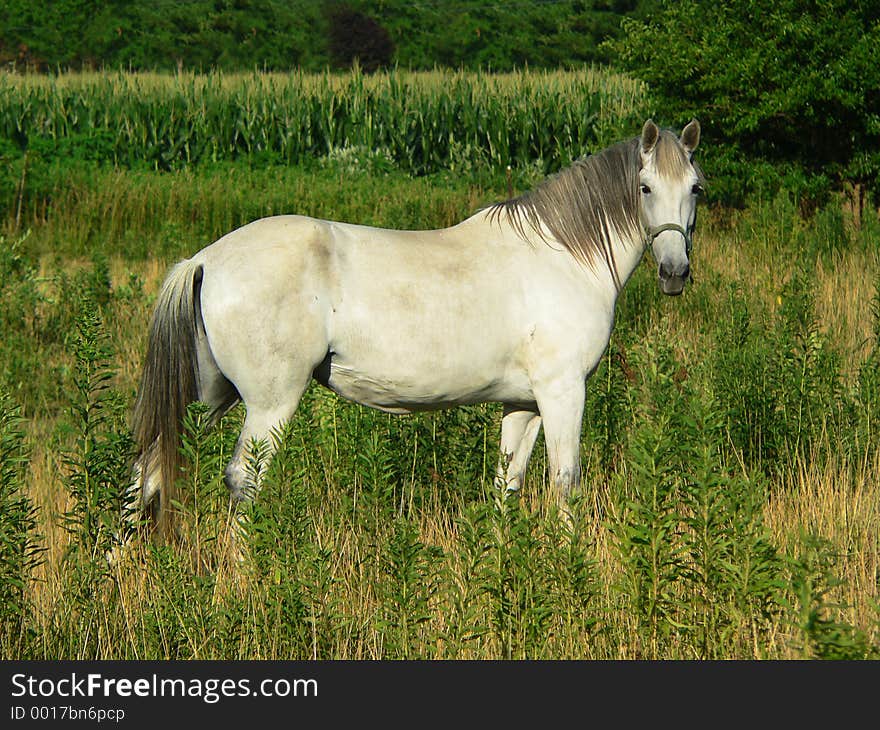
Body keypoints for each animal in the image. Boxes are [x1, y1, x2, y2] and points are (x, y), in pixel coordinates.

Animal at [129, 116, 700, 532]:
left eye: (695, 188)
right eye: (645, 187)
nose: (675, 273)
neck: (562, 254)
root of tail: (204, 260)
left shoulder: (524, 403)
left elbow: (508, 483)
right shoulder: (563, 393)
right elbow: (564, 481)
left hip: (207, 394)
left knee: (147, 471)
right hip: (269, 404)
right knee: (242, 479)